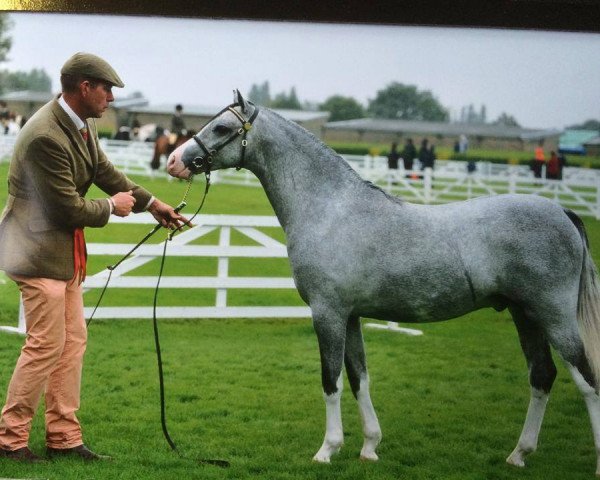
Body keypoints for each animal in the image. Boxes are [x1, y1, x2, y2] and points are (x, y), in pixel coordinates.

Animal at [166, 90, 600, 472]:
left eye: (222, 127)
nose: (175, 160)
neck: (330, 208)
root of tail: (563, 212)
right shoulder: (352, 315)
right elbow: (360, 378)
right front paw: (369, 447)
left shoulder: (328, 313)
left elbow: (331, 380)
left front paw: (327, 449)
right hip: (524, 315)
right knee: (542, 377)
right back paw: (519, 454)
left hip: (554, 317)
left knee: (587, 381)